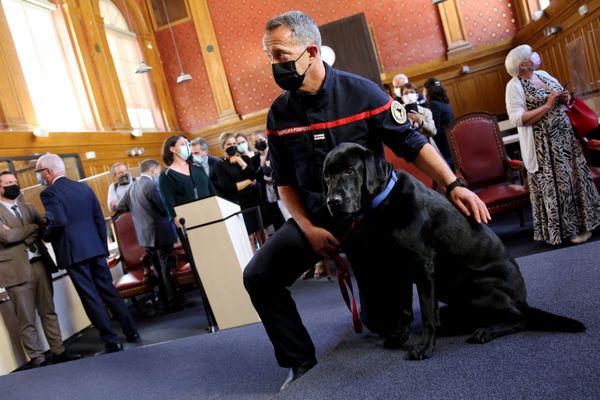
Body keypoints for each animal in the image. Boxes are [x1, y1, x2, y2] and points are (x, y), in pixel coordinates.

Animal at [324, 143, 584, 360]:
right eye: (326, 175)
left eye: (349, 170)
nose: (332, 202)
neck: (383, 203)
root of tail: (523, 299)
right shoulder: (400, 266)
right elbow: (405, 309)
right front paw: (399, 337)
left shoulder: (422, 265)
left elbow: (426, 312)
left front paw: (425, 347)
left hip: (476, 288)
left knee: (520, 318)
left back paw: (485, 331)